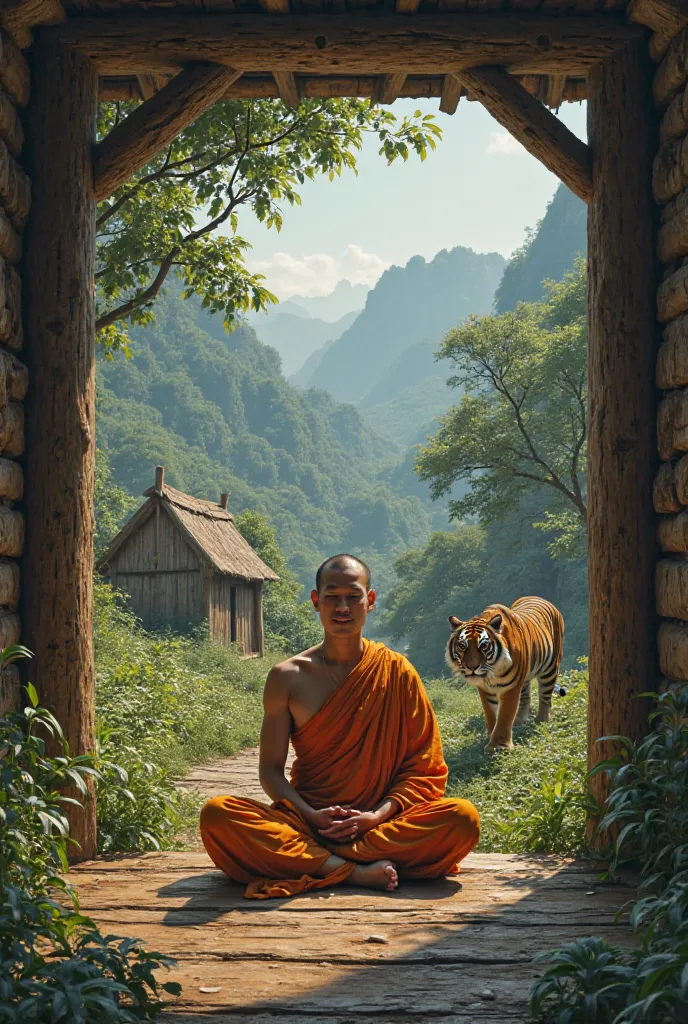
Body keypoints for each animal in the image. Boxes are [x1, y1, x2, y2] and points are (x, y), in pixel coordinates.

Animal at [446, 598, 565, 753]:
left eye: (483, 646)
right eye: (462, 645)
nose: (471, 667)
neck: (492, 672)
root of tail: (541, 598)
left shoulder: (511, 687)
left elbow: (504, 715)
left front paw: (498, 746)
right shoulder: (485, 689)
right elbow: (491, 713)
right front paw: (490, 736)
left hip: (550, 669)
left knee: (545, 696)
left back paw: (541, 721)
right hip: (525, 677)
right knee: (525, 697)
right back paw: (519, 721)